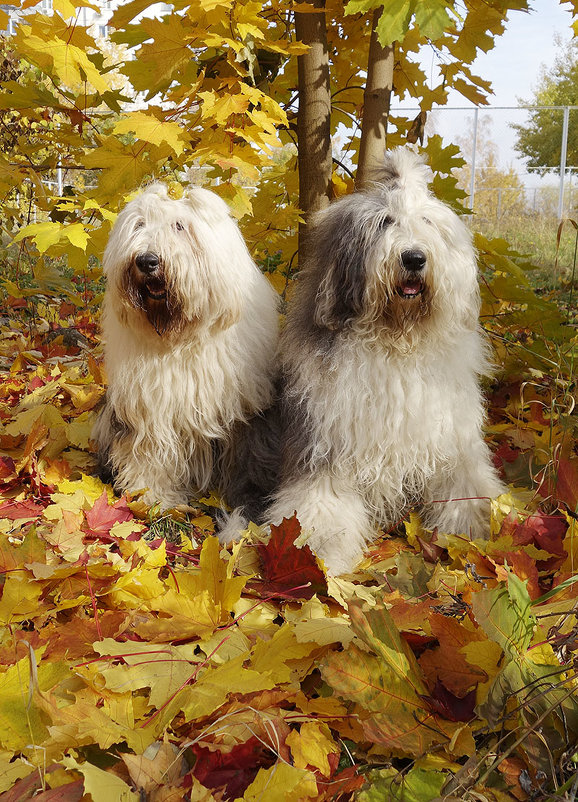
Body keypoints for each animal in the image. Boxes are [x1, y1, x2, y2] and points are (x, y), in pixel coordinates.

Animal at [92, 182, 276, 510]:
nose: (147, 261)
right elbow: (150, 452)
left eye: (179, 226)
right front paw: (151, 495)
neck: (180, 338)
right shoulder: (149, 409)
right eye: (139, 225)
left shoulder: (243, 409)